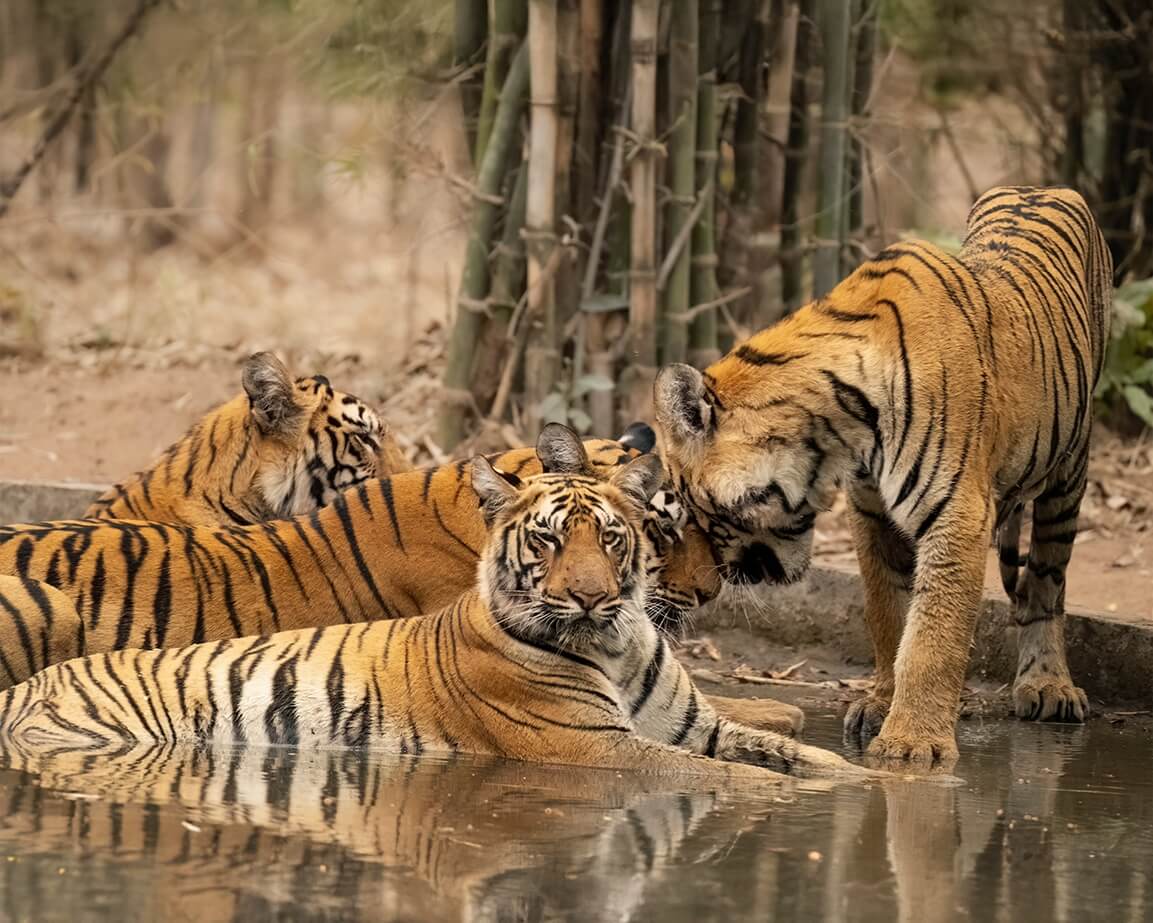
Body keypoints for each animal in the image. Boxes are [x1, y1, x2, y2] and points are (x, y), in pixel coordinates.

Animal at [653, 186, 1113, 765]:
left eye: (691, 509)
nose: (711, 587)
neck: (836, 430)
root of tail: (1042, 187)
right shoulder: (871, 511)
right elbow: (888, 613)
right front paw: (881, 706)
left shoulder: (958, 514)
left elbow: (931, 636)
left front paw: (911, 743)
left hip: (1070, 472)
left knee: (1048, 583)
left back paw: (1048, 685)